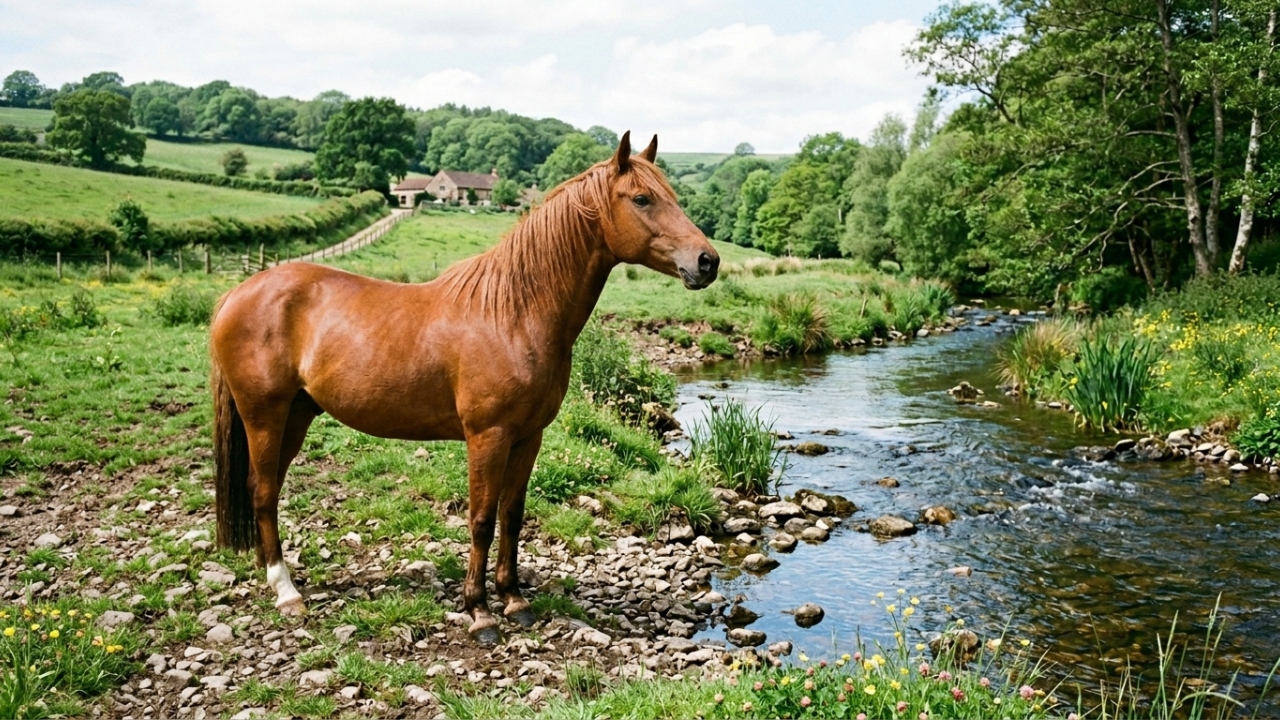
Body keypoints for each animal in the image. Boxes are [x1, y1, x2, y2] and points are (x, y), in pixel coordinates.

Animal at [208, 132, 719, 642]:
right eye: (641, 198)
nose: (708, 261)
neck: (514, 313)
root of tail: (237, 293)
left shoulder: (528, 437)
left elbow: (512, 516)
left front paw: (514, 599)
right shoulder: (487, 437)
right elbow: (481, 520)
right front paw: (480, 611)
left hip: (296, 414)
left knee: (267, 489)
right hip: (264, 416)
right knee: (262, 491)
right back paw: (285, 591)